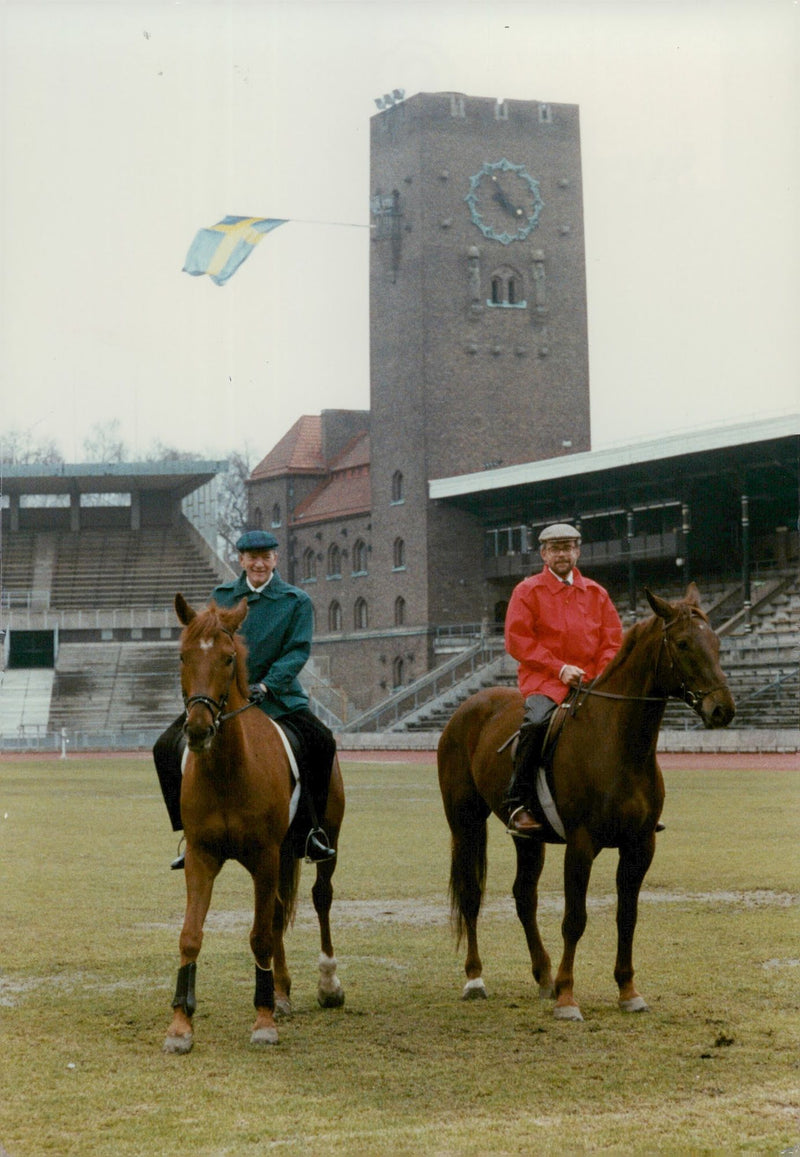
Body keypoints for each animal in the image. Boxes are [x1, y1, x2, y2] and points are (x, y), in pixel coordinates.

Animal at [164, 592, 345, 1055]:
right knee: (280, 911)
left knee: (320, 899)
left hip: (320, 845)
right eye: (182, 655)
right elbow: (190, 935)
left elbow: (261, 934)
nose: (198, 729)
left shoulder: (264, 857)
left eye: (228, 658)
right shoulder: (202, 857)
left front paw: (262, 1021)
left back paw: (327, 984)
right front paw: (180, 1024)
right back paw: (280, 993)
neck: (228, 770)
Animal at [437, 587, 736, 1022]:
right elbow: (574, 919)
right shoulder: (580, 845)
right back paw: (476, 979)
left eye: (715, 643)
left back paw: (542, 975)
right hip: (465, 823)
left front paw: (628, 991)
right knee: (473, 894)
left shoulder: (640, 845)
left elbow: (627, 916)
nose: (723, 709)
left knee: (524, 896)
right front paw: (567, 998)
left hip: (528, 839)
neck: (617, 743)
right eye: (682, 643)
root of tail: (469, 707)